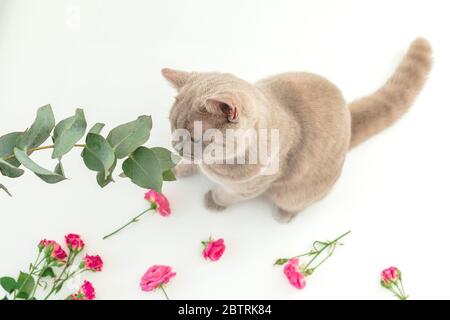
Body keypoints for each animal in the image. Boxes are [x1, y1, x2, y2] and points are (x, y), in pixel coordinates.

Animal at [162, 37, 432, 222]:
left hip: (295, 193)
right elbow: (194, 164)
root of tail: (348, 114)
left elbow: (228, 193)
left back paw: (283, 215)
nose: (176, 146)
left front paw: (213, 200)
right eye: (173, 126)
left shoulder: (252, 186)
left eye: (195, 137)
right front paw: (179, 168)